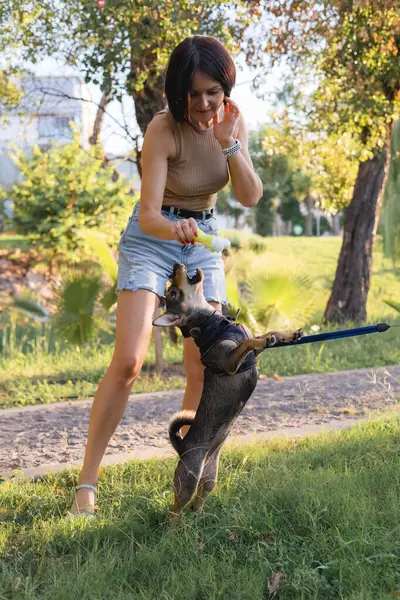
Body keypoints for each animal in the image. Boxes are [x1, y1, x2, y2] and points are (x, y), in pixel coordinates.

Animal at [152, 264, 302, 524]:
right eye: (172, 292)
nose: (175, 266)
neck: (215, 325)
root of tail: (182, 446)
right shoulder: (230, 362)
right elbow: (247, 344)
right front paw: (262, 340)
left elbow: (267, 332)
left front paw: (285, 335)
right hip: (188, 480)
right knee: (176, 508)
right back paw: (173, 530)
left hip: (210, 477)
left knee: (199, 501)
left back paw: (201, 519)